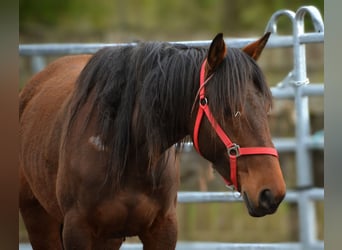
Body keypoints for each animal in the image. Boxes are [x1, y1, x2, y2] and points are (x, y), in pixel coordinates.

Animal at [18, 33, 286, 250]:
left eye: (266, 108)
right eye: (230, 110)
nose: (272, 192)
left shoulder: (162, 230)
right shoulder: (78, 230)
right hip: (39, 220)